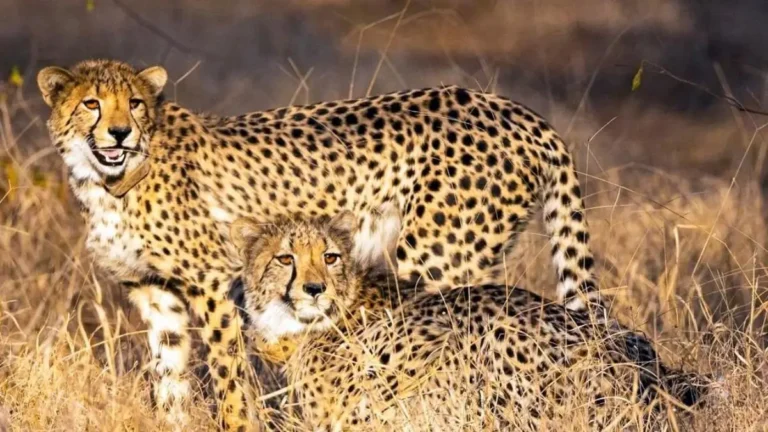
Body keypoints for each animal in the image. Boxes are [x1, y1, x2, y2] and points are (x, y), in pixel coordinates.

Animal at [37, 58, 600, 430]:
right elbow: (170, 379)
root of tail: (516, 111)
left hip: (433, 260)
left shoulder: (214, 284)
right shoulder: (155, 293)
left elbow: (228, 377)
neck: (107, 180)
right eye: (91, 103)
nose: (120, 133)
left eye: (134, 103)